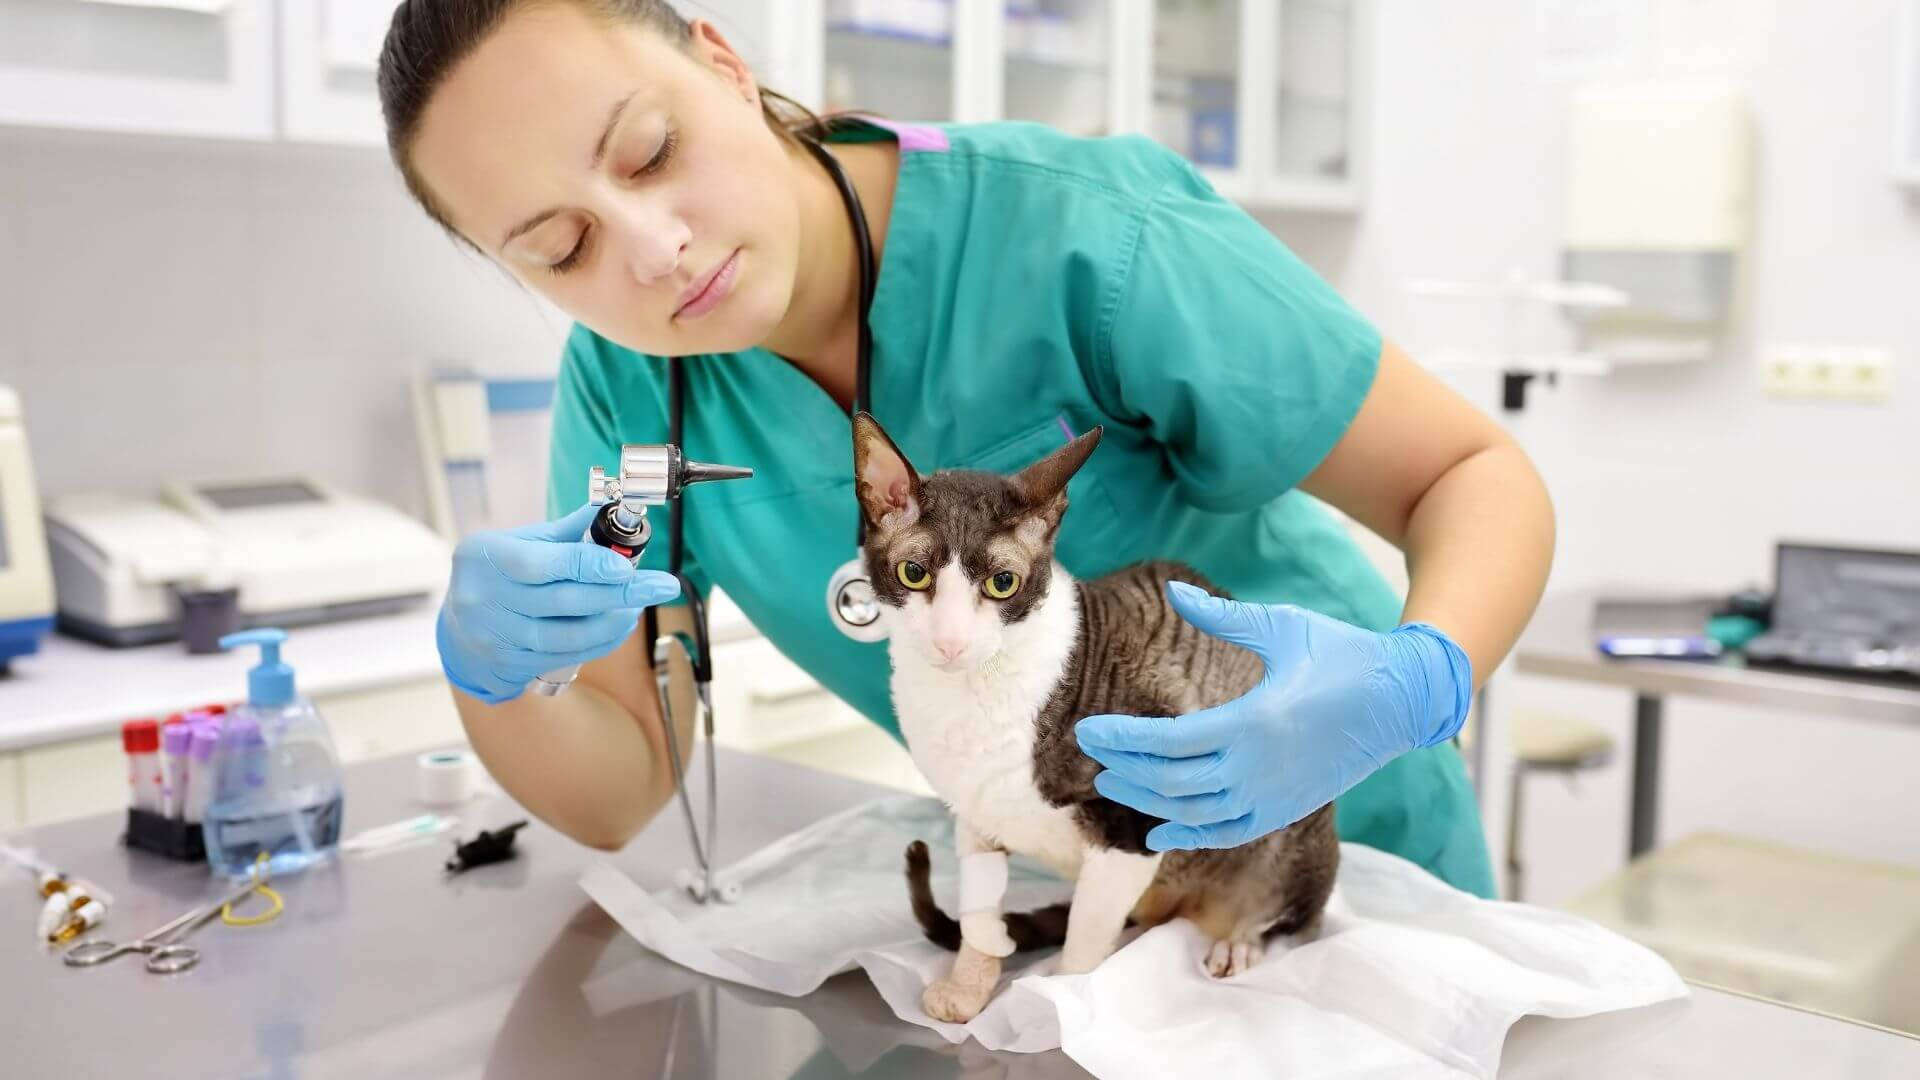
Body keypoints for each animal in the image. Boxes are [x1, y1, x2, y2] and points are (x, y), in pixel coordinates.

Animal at [856, 409, 1336, 1014]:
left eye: (1002, 583)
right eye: (913, 574)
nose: (950, 643)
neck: (968, 695)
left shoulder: (1134, 824)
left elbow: (1084, 941)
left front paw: (1055, 1003)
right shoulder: (976, 816)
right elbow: (979, 915)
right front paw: (969, 988)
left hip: (1291, 810)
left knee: (1295, 914)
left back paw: (1240, 941)